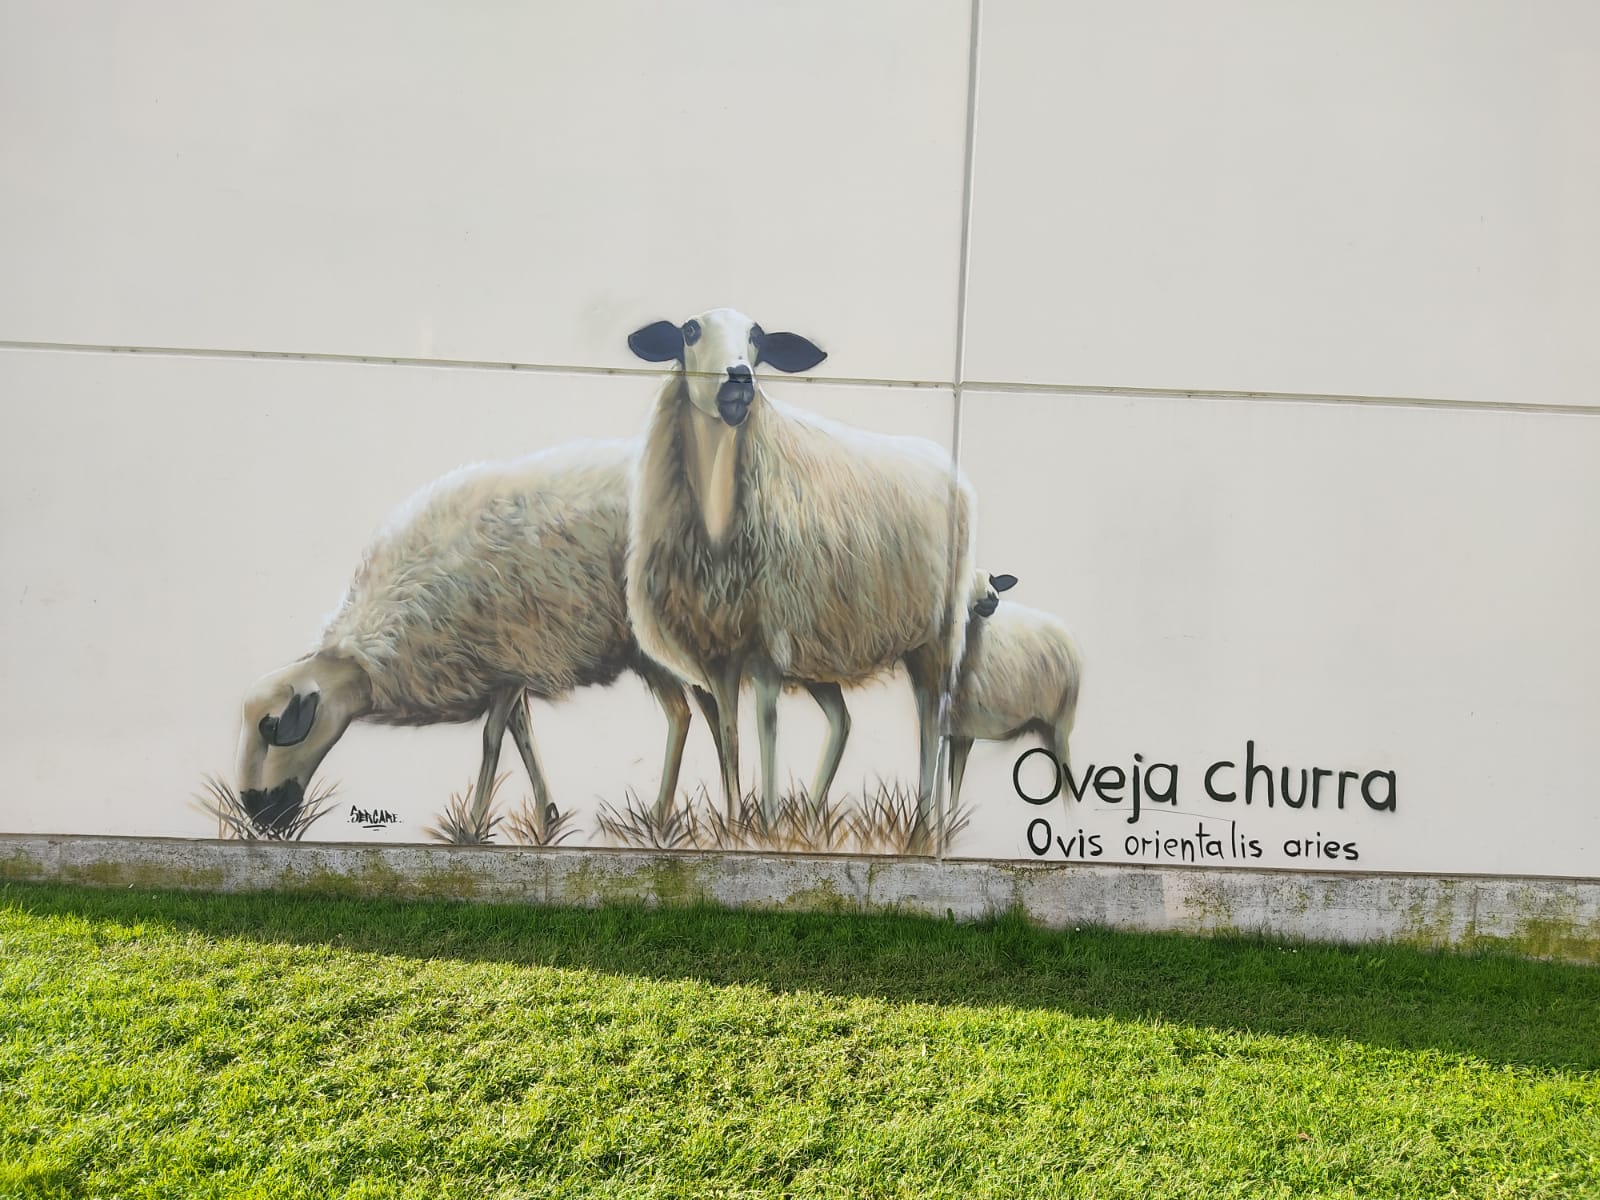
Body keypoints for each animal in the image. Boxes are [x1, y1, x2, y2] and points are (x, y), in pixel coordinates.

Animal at [624, 305, 972, 825]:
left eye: (759, 338)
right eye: (689, 331)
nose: (739, 379)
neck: (719, 524)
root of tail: (945, 462)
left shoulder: (771, 642)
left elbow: (767, 728)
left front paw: (766, 824)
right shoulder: (717, 652)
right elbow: (729, 738)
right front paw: (735, 823)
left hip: (936, 632)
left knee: (931, 722)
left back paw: (922, 825)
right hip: (824, 652)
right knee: (844, 721)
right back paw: (811, 813)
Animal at [947, 569, 1088, 812]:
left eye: (993, 580)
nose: (991, 598)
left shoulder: (964, 729)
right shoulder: (953, 732)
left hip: (1062, 721)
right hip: (1044, 725)